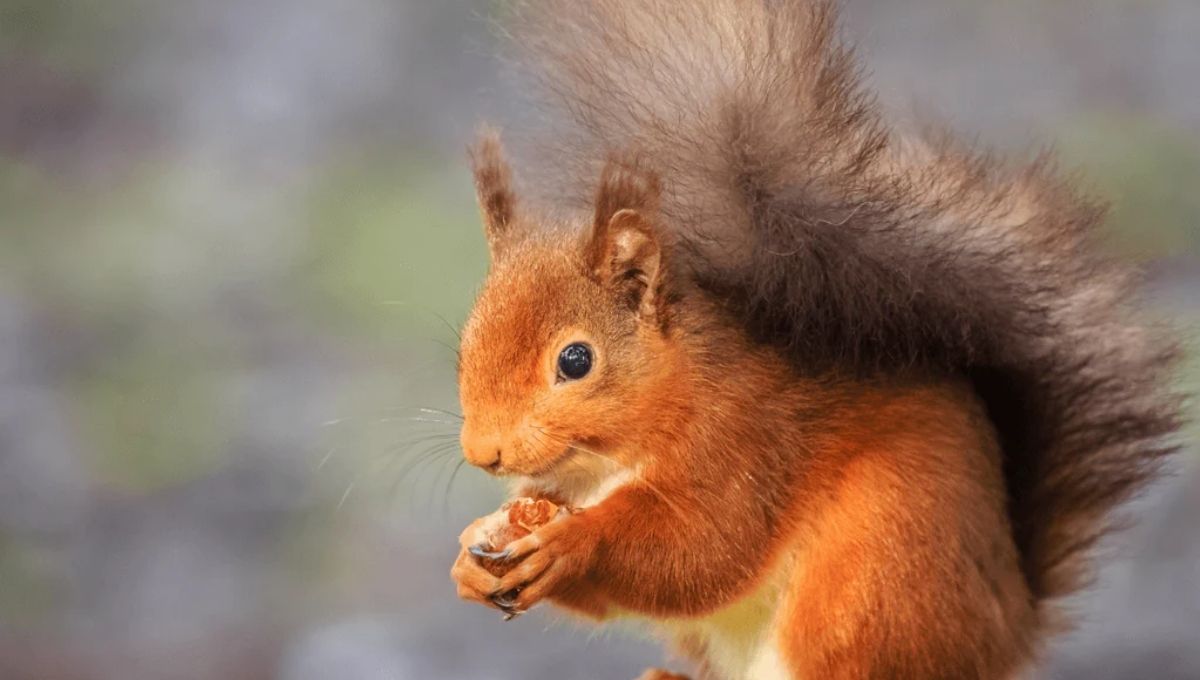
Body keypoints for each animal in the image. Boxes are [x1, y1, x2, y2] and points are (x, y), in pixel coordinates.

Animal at [447, 1, 1183, 678]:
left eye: (576, 360)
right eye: (464, 348)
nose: (484, 453)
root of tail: (1006, 630)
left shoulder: (746, 442)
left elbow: (702, 551)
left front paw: (570, 545)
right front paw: (472, 559)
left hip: (873, 585)